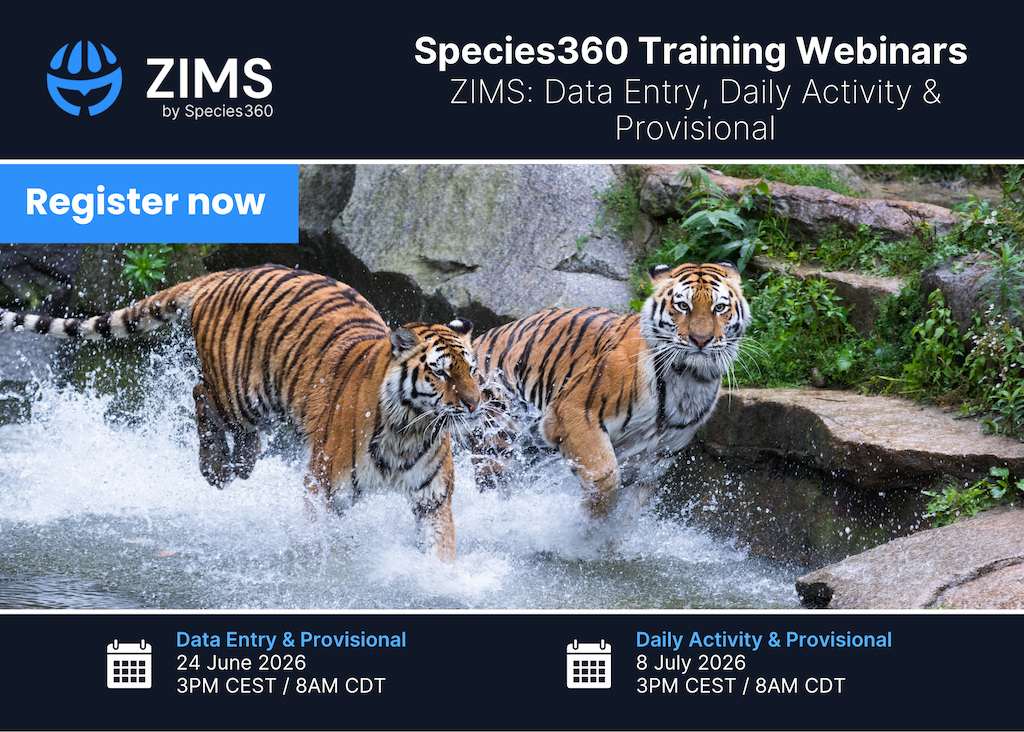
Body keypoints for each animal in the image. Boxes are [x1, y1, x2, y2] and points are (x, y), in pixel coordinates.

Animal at [0, 264, 481, 563]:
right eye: (441, 373)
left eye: (473, 370)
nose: (476, 403)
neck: (410, 428)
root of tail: (226, 273)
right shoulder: (323, 487)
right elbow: (319, 536)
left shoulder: (433, 497)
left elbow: (441, 548)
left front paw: (440, 581)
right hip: (238, 392)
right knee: (200, 394)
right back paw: (216, 468)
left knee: (242, 431)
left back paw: (242, 465)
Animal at [472, 260, 751, 520]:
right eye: (683, 306)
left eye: (720, 308)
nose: (701, 340)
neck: (689, 379)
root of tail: (480, 339)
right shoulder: (572, 411)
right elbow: (604, 477)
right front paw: (582, 525)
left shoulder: (654, 460)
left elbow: (626, 518)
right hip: (497, 434)